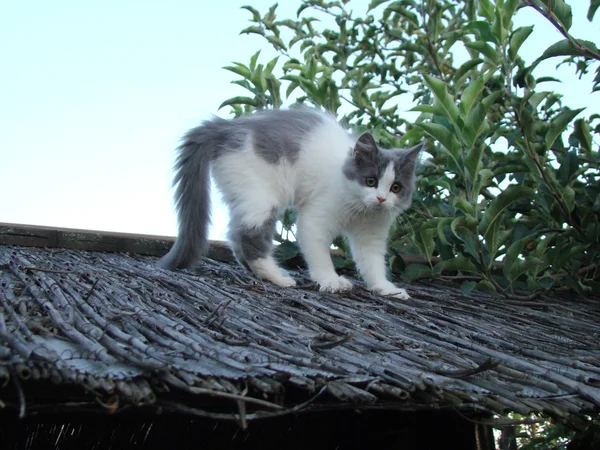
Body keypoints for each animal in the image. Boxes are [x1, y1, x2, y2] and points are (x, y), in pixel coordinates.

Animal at [159, 108, 422, 298]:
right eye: (371, 181)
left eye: (395, 187)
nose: (381, 198)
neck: (360, 210)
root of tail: (225, 126)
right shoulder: (315, 219)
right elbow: (319, 254)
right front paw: (330, 280)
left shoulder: (371, 235)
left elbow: (373, 264)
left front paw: (386, 288)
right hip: (260, 196)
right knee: (249, 237)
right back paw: (278, 278)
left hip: (244, 195)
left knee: (234, 235)